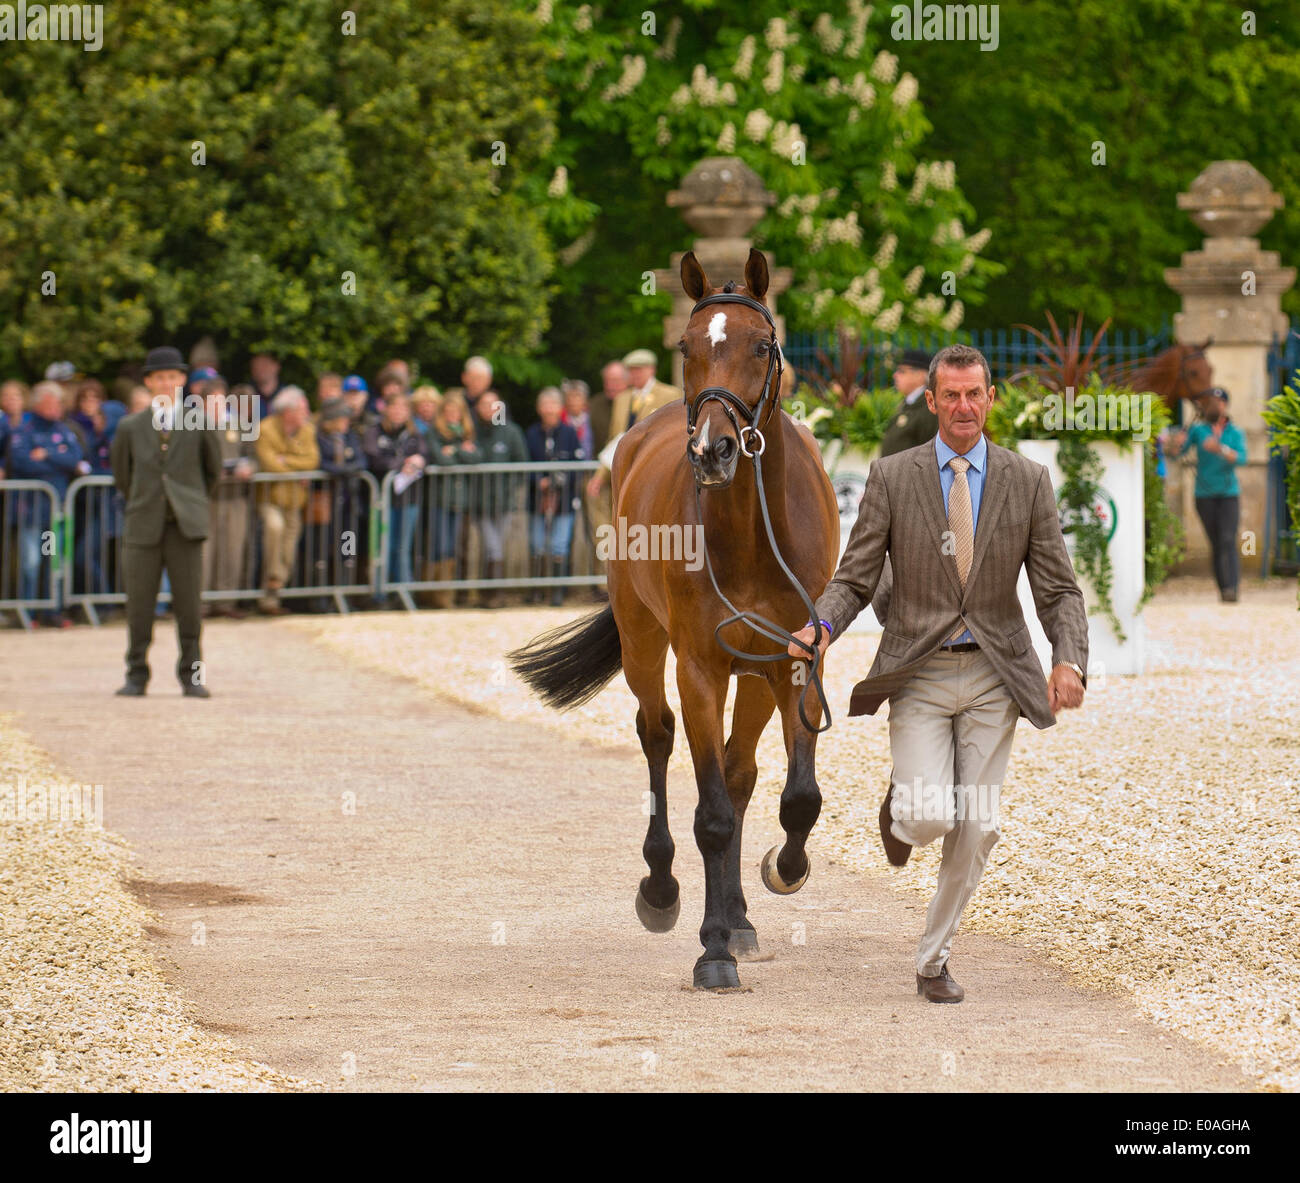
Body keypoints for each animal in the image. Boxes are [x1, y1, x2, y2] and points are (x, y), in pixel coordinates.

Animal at [506, 248, 842, 993]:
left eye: (761, 345)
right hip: (642, 642)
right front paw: (711, 949)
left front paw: (779, 872)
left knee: (742, 772)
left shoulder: (795, 660)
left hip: (752, 673)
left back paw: (741, 916)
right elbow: (710, 813)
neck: (750, 532)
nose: (714, 451)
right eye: (687, 347)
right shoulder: (698, 668)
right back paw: (662, 889)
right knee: (657, 737)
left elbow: (796, 797)